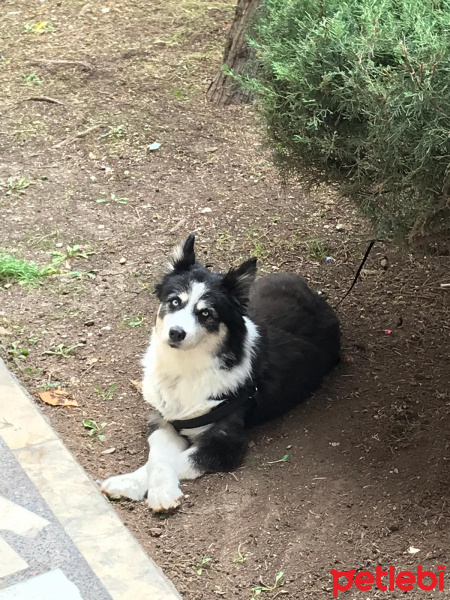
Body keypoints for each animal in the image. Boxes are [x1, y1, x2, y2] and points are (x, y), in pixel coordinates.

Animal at [101, 234, 342, 510]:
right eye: (174, 301)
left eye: (206, 313)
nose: (175, 333)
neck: (185, 369)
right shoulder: (162, 418)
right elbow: (158, 457)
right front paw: (128, 483)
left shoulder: (226, 442)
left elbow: (174, 461)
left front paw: (161, 493)